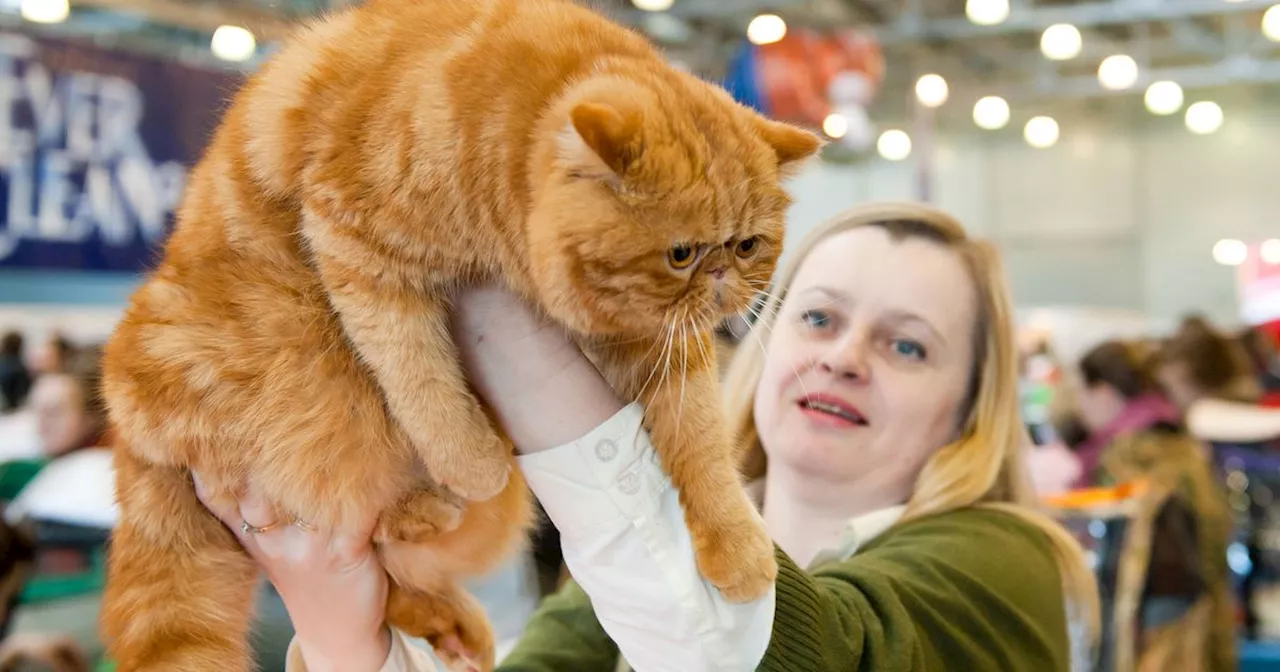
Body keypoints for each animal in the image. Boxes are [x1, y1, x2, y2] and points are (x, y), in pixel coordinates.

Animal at [97, 0, 819, 665]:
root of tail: (128, 426)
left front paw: (740, 548)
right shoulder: (358, 249)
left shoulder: (664, 347)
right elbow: (424, 384)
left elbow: (703, 445)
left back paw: (447, 600)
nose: (722, 277)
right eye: (681, 254)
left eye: (748, 245)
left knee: (396, 575)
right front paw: (473, 461)